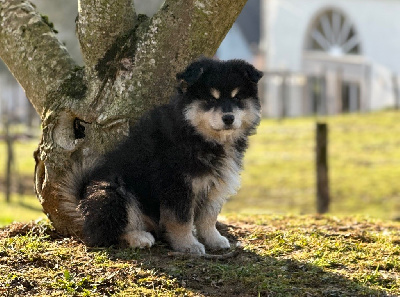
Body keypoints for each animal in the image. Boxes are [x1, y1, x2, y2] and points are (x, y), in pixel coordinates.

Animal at [60, 56, 262, 253]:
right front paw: (188, 245)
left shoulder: (214, 185)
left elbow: (209, 217)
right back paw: (138, 238)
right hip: (113, 190)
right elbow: (181, 219)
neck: (196, 134)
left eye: (237, 98)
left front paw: (214, 240)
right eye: (211, 99)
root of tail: (81, 203)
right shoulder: (177, 185)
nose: (228, 118)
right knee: (109, 232)